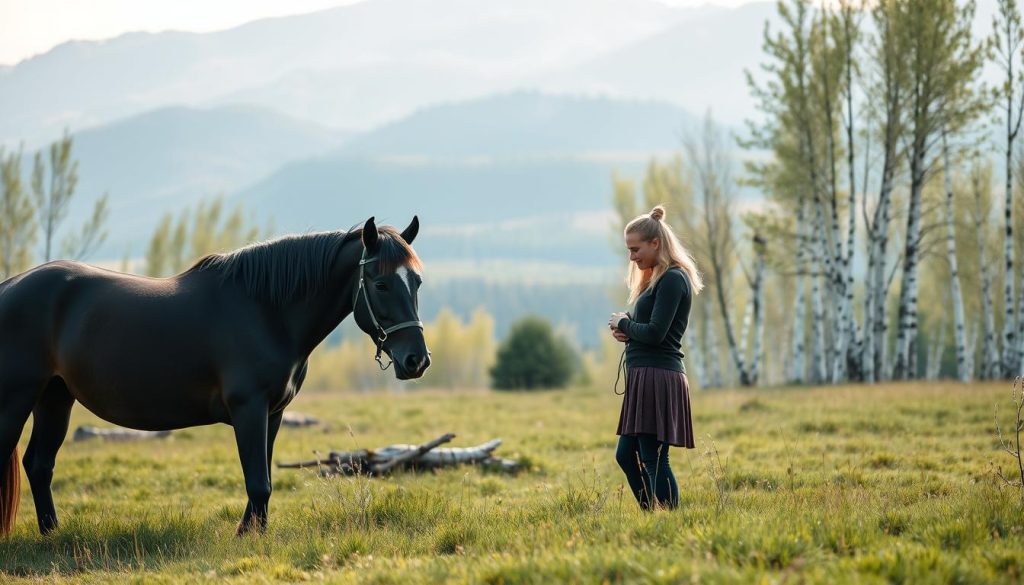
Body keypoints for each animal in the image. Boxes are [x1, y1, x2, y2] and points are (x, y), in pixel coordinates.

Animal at [0, 217, 428, 536]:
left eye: (418, 282)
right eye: (381, 283)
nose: (416, 361)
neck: (266, 310)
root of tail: (9, 286)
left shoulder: (273, 413)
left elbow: (263, 482)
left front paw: (254, 533)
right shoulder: (248, 409)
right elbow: (258, 481)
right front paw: (247, 536)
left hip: (55, 397)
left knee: (40, 464)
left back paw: (52, 533)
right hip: (18, 398)